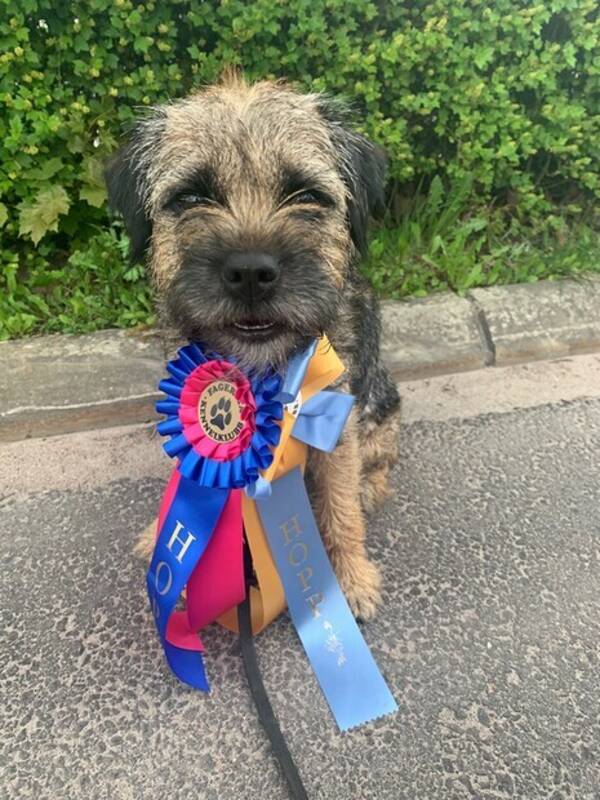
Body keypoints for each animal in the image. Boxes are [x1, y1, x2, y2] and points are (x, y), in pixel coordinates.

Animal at [105, 72, 400, 620]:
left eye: (305, 194)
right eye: (190, 197)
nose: (250, 273)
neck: (259, 371)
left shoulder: (334, 426)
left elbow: (340, 506)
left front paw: (349, 579)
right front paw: (166, 549)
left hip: (380, 409)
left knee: (377, 461)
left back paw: (371, 486)